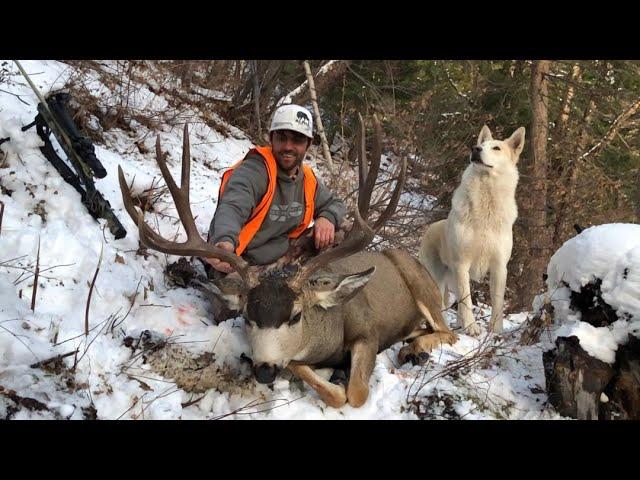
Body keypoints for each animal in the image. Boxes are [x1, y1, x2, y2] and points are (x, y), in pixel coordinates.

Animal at [420, 124, 524, 334]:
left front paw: (495, 329)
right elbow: (466, 300)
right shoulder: (462, 264)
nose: (475, 149)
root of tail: (429, 229)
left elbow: (497, 301)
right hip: (437, 279)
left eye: (496, 148)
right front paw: (472, 328)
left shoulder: (499, 266)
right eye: (481, 145)